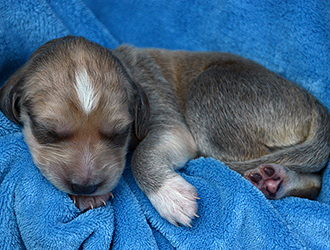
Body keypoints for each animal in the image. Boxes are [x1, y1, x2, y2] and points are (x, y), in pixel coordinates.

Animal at [0, 35, 330, 227]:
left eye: (120, 133)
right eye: (46, 132)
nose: (85, 186)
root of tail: (316, 105)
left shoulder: (169, 122)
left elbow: (139, 156)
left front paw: (169, 194)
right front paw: (88, 198)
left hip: (209, 92)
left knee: (311, 175)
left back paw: (273, 178)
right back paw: (275, 180)